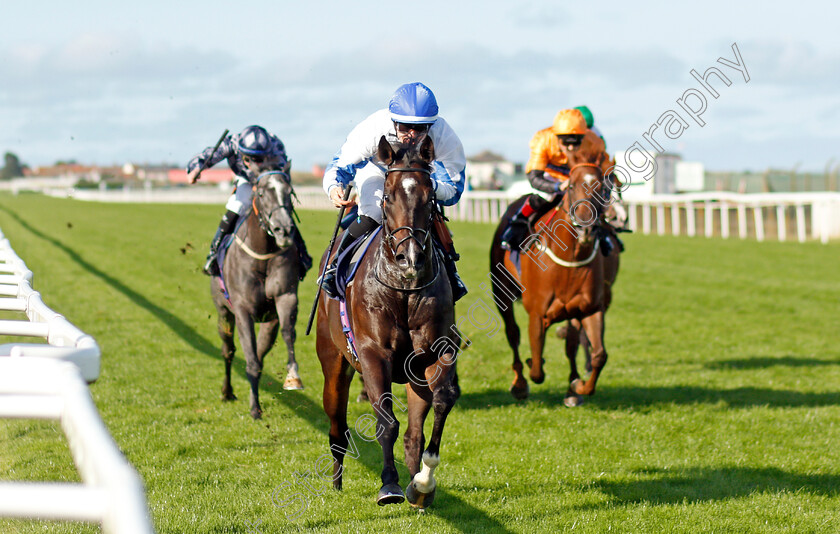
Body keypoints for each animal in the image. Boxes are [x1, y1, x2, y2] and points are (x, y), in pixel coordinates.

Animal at [210, 161, 306, 420]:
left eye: (290, 192)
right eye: (262, 194)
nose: (284, 230)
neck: (263, 255)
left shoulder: (285, 298)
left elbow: (287, 334)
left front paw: (293, 376)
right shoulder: (242, 310)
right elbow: (250, 359)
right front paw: (254, 408)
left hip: (267, 322)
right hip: (223, 312)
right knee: (228, 350)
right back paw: (227, 391)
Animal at [316, 135, 460, 510]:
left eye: (429, 197)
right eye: (388, 195)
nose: (410, 258)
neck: (404, 290)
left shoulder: (435, 352)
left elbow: (442, 402)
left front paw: (422, 483)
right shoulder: (372, 354)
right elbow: (386, 422)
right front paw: (389, 485)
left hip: (412, 376)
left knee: (414, 432)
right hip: (333, 362)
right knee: (336, 426)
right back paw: (337, 482)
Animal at [488, 144, 620, 408]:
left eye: (603, 188)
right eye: (570, 186)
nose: (586, 228)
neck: (570, 260)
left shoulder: (591, 308)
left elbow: (598, 355)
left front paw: (578, 386)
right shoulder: (538, 313)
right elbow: (537, 366)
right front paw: (530, 371)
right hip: (501, 293)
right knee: (513, 334)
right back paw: (519, 384)